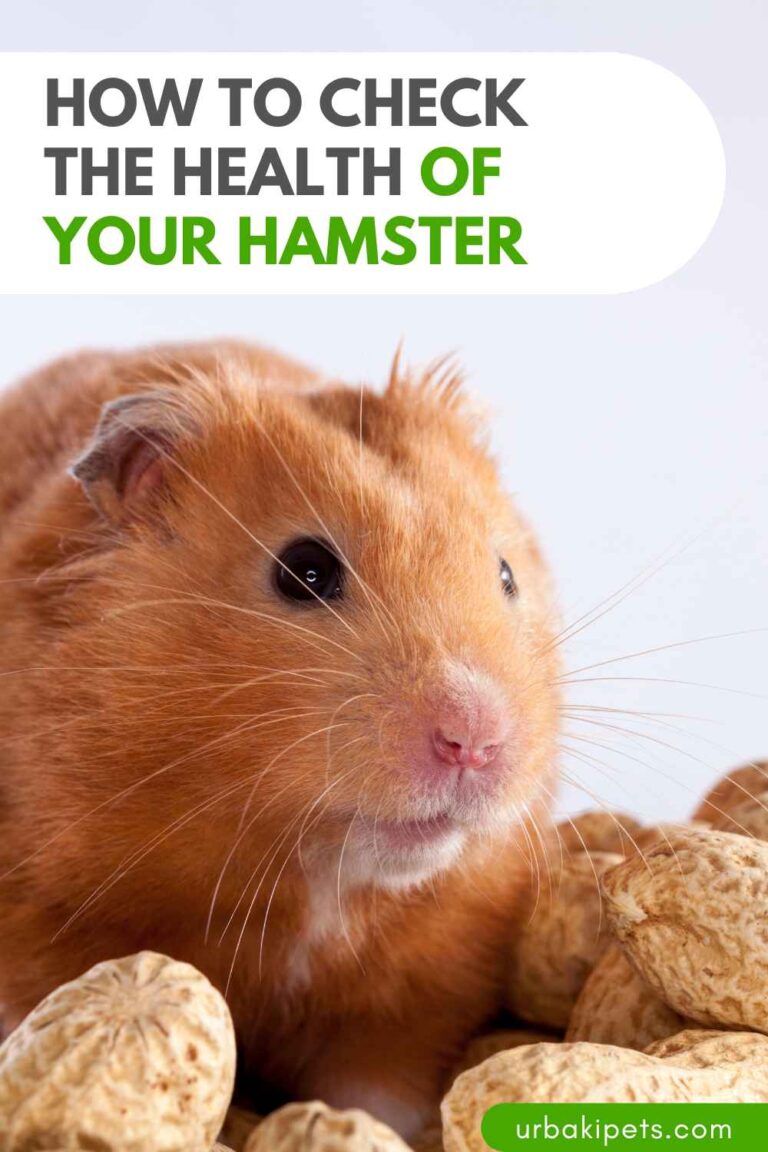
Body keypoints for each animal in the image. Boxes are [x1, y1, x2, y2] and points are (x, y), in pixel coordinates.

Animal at [0, 342, 560, 1138]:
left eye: (506, 573)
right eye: (305, 570)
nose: (475, 742)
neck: (310, 868)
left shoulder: (411, 1002)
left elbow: (377, 1097)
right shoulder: (40, 926)